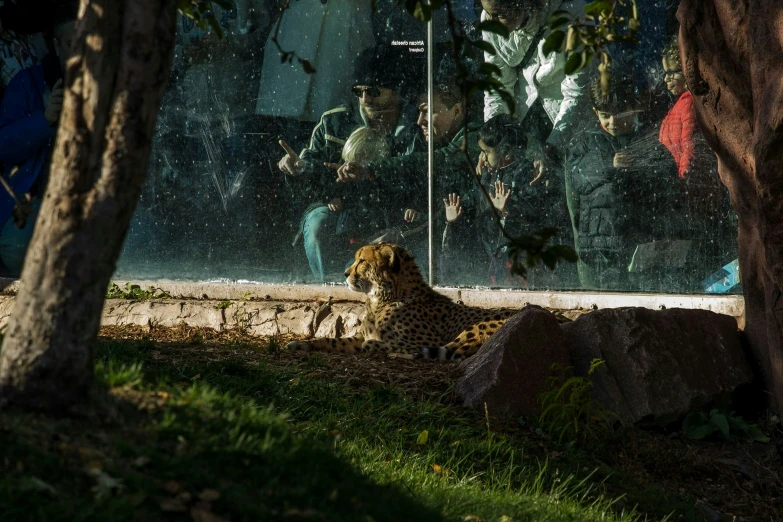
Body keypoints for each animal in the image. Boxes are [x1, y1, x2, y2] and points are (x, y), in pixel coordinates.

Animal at [288, 243, 520, 358]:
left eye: (361, 261)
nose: (345, 274)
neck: (383, 297)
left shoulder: (427, 340)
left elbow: (377, 344)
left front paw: (382, 348)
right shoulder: (359, 337)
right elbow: (333, 341)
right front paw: (302, 344)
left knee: (447, 353)